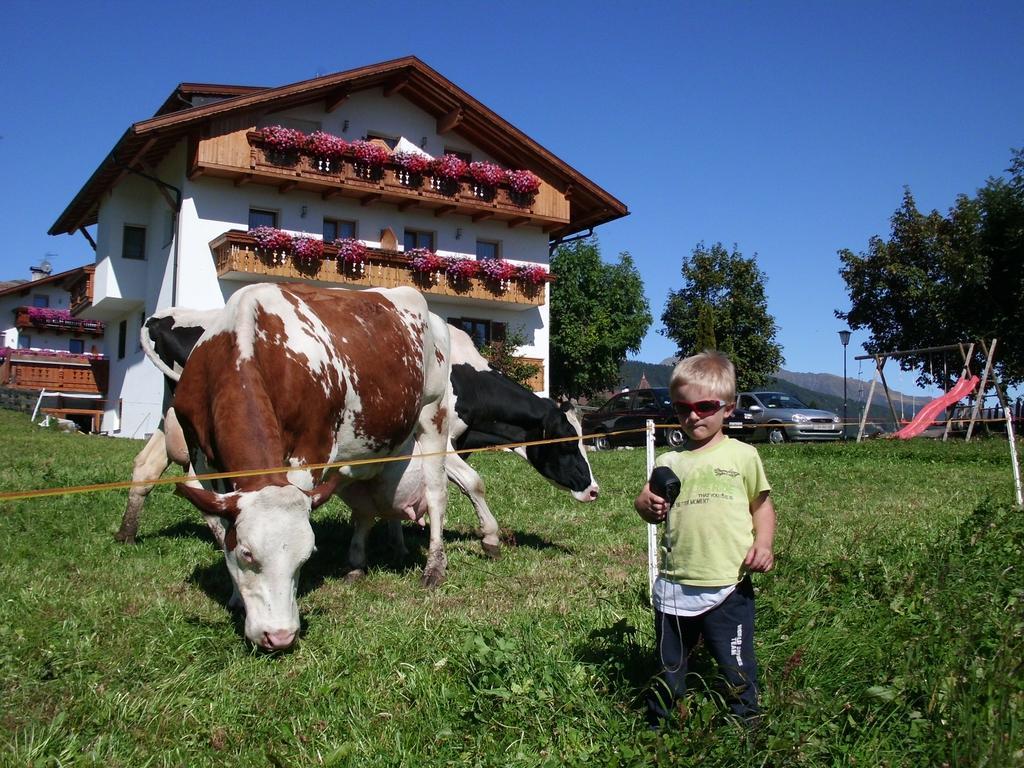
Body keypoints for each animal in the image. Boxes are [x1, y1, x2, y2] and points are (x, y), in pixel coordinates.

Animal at [165, 282, 450, 651]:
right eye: (247, 553)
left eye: (306, 557)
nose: (280, 636)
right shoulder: (202, 459)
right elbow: (220, 526)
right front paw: (236, 598)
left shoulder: (311, 449)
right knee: (371, 506)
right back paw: (365, 560)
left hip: (434, 413)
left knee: (436, 495)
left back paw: (434, 567)